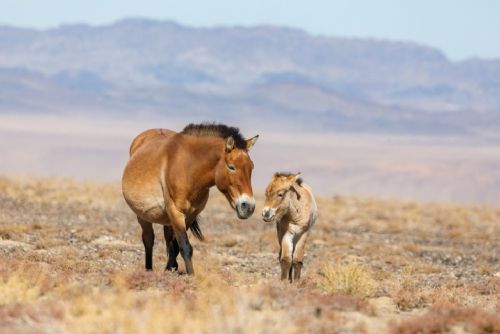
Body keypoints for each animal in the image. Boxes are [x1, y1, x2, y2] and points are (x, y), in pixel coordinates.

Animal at [123, 122, 260, 274]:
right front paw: (191, 275)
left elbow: (177, 245)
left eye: (251, 167)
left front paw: (171, 268)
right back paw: (148, 269)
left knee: (167, 237)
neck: (188, 167)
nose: (248, 207)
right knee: (148, 239)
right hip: (142, 215)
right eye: (231, 167)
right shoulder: (176, 212)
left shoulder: (190, 215)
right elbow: (185, 247)